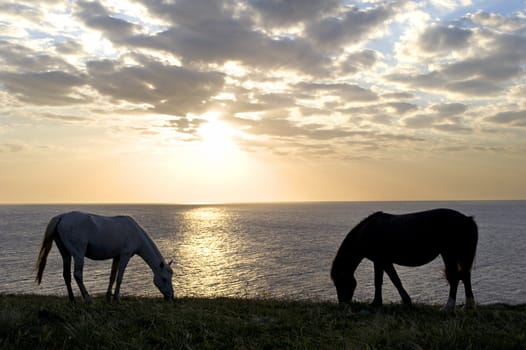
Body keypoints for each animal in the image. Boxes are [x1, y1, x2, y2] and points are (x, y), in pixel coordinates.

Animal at [35, 212, 175, 302]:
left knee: (66, 275)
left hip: (65, 254)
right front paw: (117, 298)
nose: (171, 296)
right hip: (78, 253)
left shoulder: (116, 257)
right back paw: (88, 299)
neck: (135, 233)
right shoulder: (125, 256)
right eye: (164, 279)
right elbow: (119, 278)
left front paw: (108, 297)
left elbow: (112, 277)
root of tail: (62, 217)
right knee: (77, 275)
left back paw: (72, 299)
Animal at [332, 208, 480, 308]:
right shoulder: (379, 261)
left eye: (339, 282)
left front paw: (405, 301)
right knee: (465, 275)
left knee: (455, 277)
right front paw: (377, 302)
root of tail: (467, 219)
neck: (365, 232)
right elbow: (379, 281)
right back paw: (469, 306)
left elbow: (394, 280)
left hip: (449, 253)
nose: (342, 304)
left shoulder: (384, 260)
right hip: (459, 255)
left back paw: (448, 307)